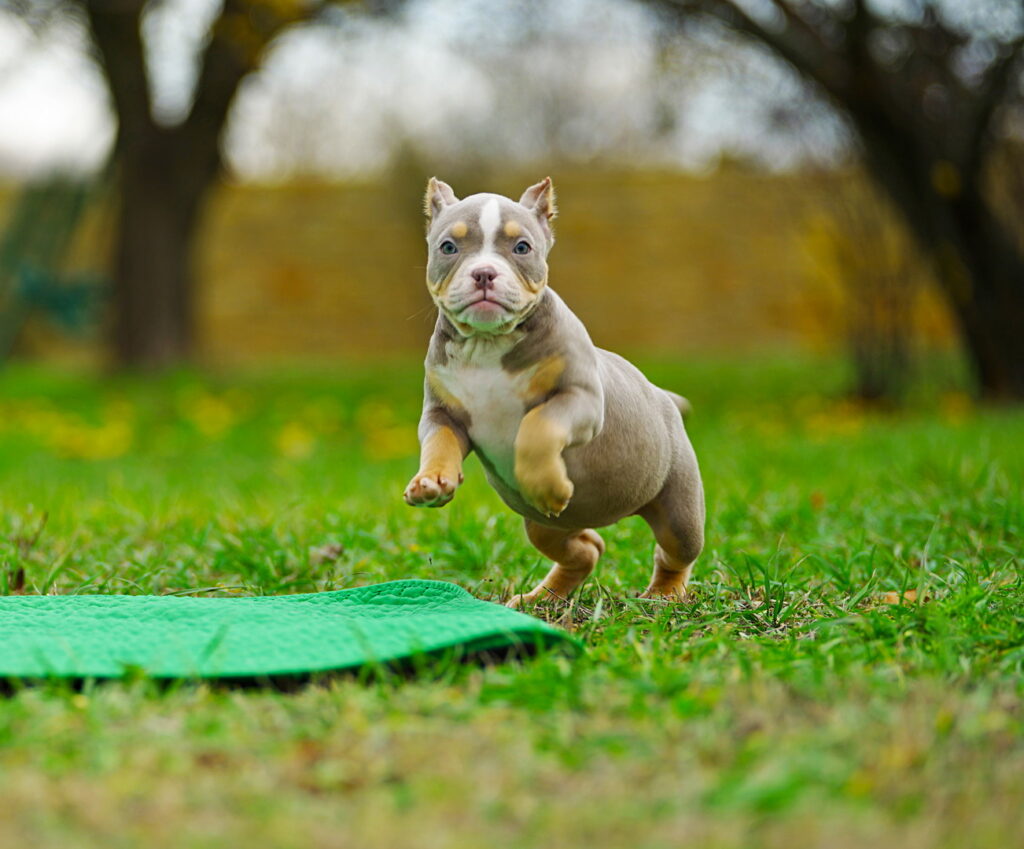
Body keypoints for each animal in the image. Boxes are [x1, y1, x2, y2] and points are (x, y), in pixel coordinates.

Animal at [403, 175, 708, 606]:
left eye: (521, 247)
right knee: (586, 548)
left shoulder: (578, 399)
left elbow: (538, 425)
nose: (484, 273)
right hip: (544, 526)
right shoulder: (442, 414)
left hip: (678, 508)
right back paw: (542, 598)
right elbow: (438, 443)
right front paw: (431, 482)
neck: (486, 343)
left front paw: (547, 483)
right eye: (448, 247)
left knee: (675, 551)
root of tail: (661, 394)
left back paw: (663, 594)